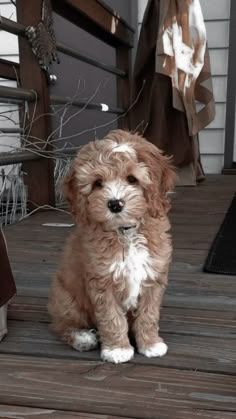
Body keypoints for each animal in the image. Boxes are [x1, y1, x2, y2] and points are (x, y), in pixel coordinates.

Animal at [48, 130, 175, 364]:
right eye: (98, 183)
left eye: (132, 179)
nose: (115, 204)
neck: (125, 233)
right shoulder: (102, 281)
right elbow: (111, 317)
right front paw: (118, 349)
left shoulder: (153, 276)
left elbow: (149, 314)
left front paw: (151, 343)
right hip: (66, 300)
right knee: (63, 325)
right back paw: (82, 337)